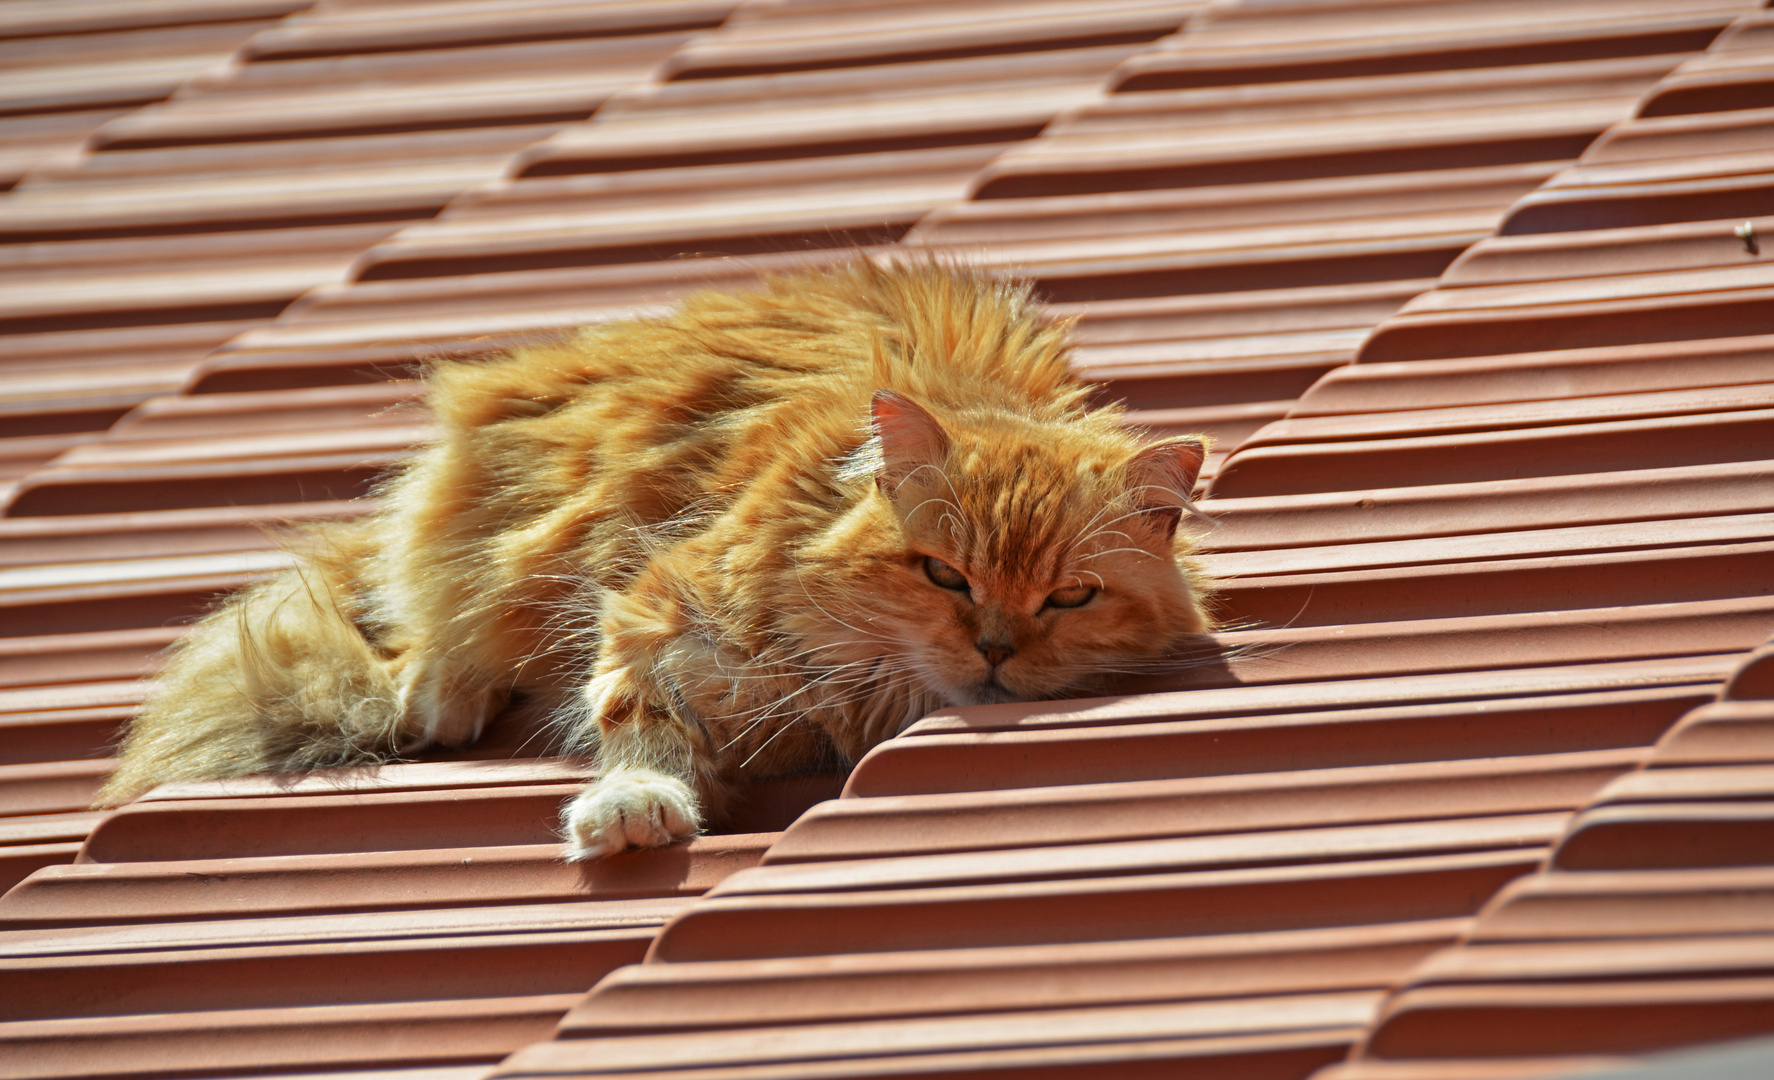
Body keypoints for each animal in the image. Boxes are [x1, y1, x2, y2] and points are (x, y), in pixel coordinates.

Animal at [93, 262, 1206, 858]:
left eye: (1069, 596)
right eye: (944, 575)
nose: (994, 651)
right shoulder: (661, 616)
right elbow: (640, 725)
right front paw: (633, 809)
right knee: (420, 637)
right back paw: (441, 694)